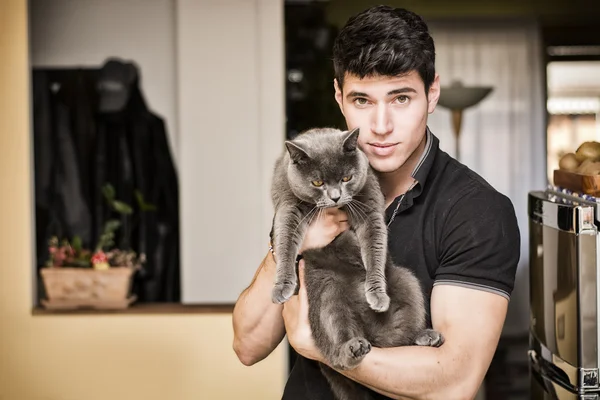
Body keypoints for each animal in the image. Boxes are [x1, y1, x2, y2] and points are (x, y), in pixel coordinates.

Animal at [270, 128, 442, 400]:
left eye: (346, 177)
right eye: (317, 183)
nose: (335, 197)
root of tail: (368, 334)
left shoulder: (368, 202)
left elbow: (374, 244)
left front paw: (377, 294)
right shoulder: (288, 203)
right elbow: (286, 240)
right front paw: (282, 286)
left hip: (406, 281)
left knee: (397, 341)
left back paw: (424, 335)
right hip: (325, 293)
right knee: (334, 350)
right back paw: (351, 349)